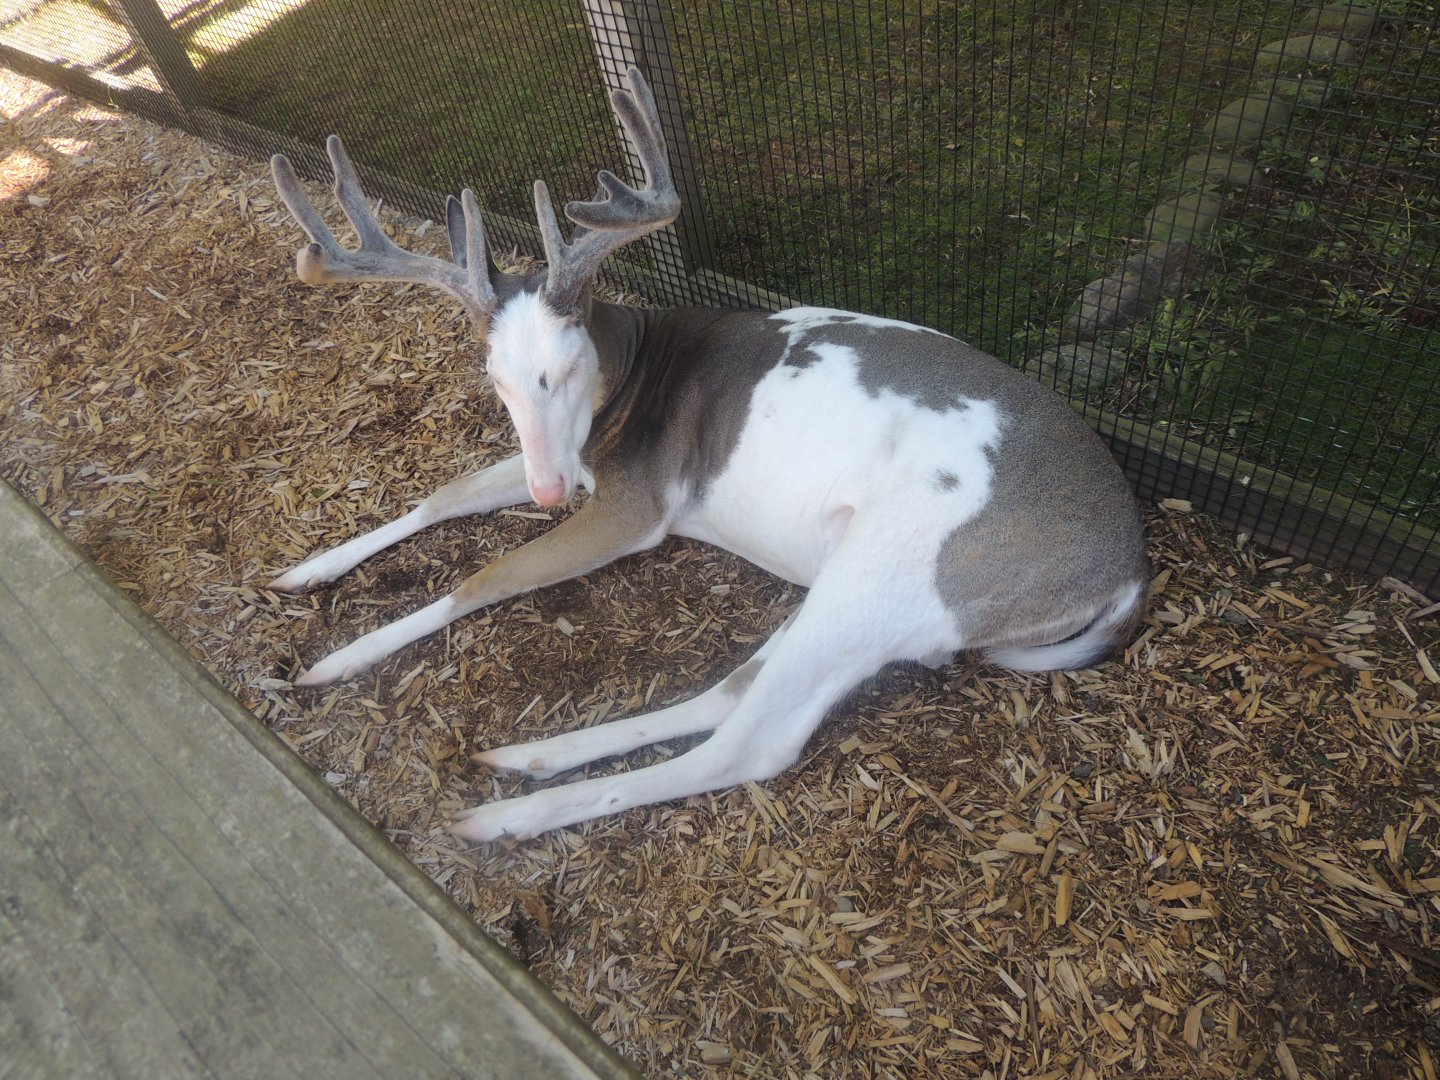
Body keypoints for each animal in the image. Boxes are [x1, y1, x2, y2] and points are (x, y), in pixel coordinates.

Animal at [266, 67, 1149, 844]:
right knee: (736, 689)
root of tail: (1130, 570)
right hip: (850, 580)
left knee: (751, 744)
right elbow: (446, 494)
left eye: (567, 367)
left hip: (910, 573)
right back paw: (527, 754)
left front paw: (338, 659)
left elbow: (490, 576)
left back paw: (508, 814)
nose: (549, 491)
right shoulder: (580, 466)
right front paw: (305, 571)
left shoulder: (638, 503)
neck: (628, 378)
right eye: (497, 378)